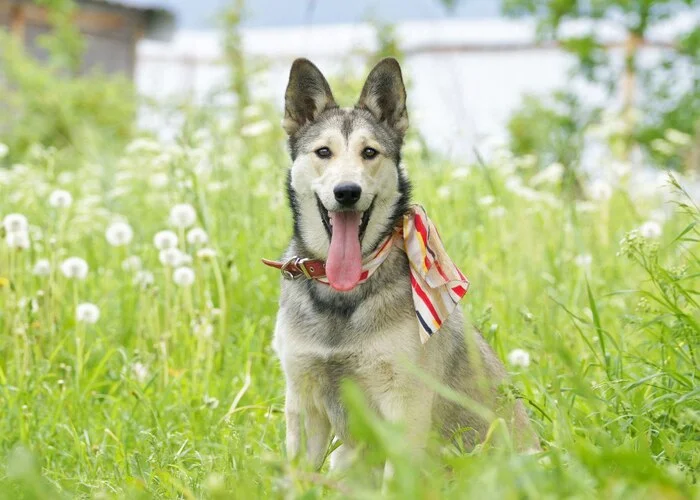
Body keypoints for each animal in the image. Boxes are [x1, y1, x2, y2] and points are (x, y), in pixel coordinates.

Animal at [268, 57, 540, 472]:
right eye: (323, 152)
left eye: (369, 152)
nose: (347, 192)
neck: (344, 295)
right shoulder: (304, 404)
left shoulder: (403, 409)